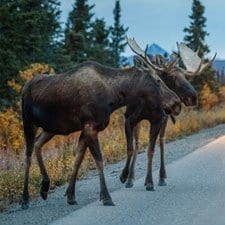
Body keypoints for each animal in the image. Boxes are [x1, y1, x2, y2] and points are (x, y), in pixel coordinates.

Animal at [21, 42, 181, 209]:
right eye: (158, 80)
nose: (176, 102)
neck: (113, 96)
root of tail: (24, 88)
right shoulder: (90, 127)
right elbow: (99, 161)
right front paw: (106, 197)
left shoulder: (86, 129)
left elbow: (78, 160)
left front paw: (71, 196)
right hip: (28, 122)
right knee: (27, 156)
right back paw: (25, 199)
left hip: (51, 128)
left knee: (38, 144)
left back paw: (45, 187)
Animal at [119, 38, 216, 190]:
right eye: (171, 76)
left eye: (185, 76)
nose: (193, 97)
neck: (146, 103)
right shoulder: (130, 119)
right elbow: (132, 147)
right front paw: (125, 177)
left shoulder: (158, 120)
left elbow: (151, 150)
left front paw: (149, 181)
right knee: (139, 143)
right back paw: (131, 178)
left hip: (164, 120)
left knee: (162, 142)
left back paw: (162, 177)